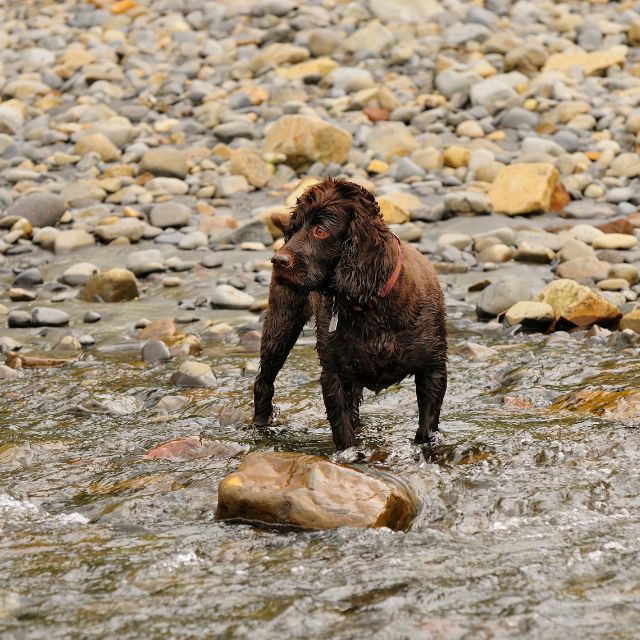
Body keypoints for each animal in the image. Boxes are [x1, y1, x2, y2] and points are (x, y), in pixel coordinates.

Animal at [250, 178, 444, 452]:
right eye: (294, 229)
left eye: (320, 231)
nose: (277, 260)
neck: (370, 305)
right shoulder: (334, 375)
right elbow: (343, 430)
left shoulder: (433, 369)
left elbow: (427, 427)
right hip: (281, 324)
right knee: (263, 380)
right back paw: (260, 426)